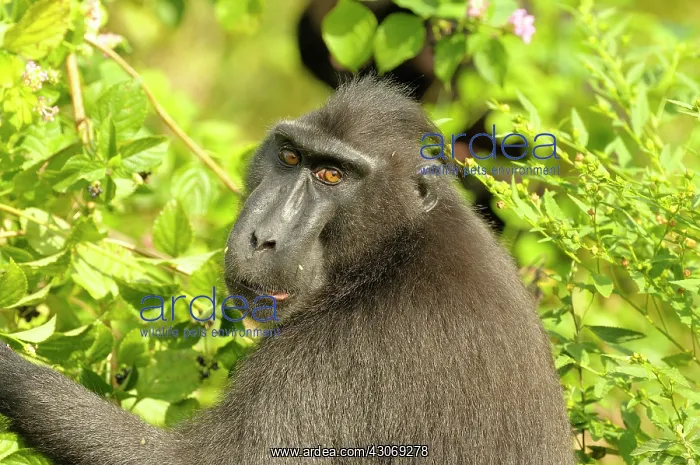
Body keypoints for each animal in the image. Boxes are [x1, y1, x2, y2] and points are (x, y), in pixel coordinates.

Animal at [0, 76, 574, 464]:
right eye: (291, 157)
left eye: (332, 175)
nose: (262, 237)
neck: (395, 250)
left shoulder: (346, 355)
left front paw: (8, 369)